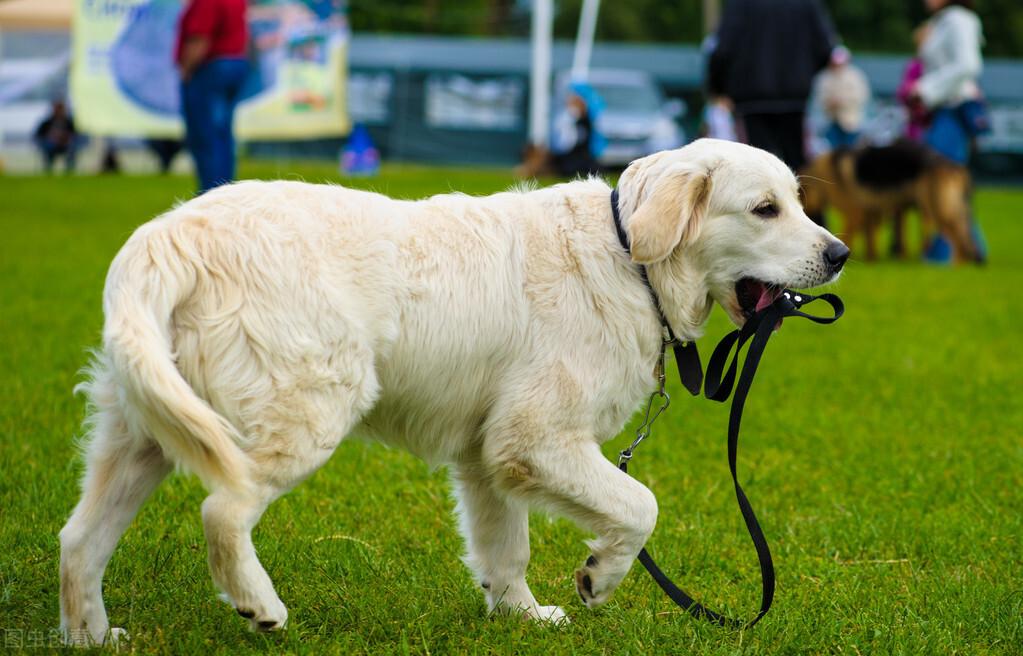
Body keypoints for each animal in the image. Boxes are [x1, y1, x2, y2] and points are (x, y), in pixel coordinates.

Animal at [59, 135, 851, 642]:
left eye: (796, 202)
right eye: (765, 209)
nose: (841, 253)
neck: (630, 259)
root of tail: (168, 235)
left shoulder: (487, 453)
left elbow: (506, 548)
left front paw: (523, 615)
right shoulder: (536, 436)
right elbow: (639, 503)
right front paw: (599, 577)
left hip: (142, 433)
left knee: (78, 539)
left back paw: (90, 634)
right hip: (306, 407)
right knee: (224, 510)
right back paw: (260, 606)